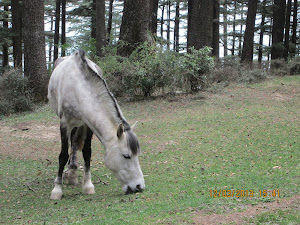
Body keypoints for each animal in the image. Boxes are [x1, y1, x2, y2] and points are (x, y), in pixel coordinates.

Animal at [47, 50, 145, 200]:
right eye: (126, 156)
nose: (139, 186)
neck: (78, 88)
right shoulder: (64, 124)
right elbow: (62, 156)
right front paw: (57, 190)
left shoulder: (88, 125)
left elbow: (87, 153)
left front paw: (88, 186)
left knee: (75, 141)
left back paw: (72, 172)